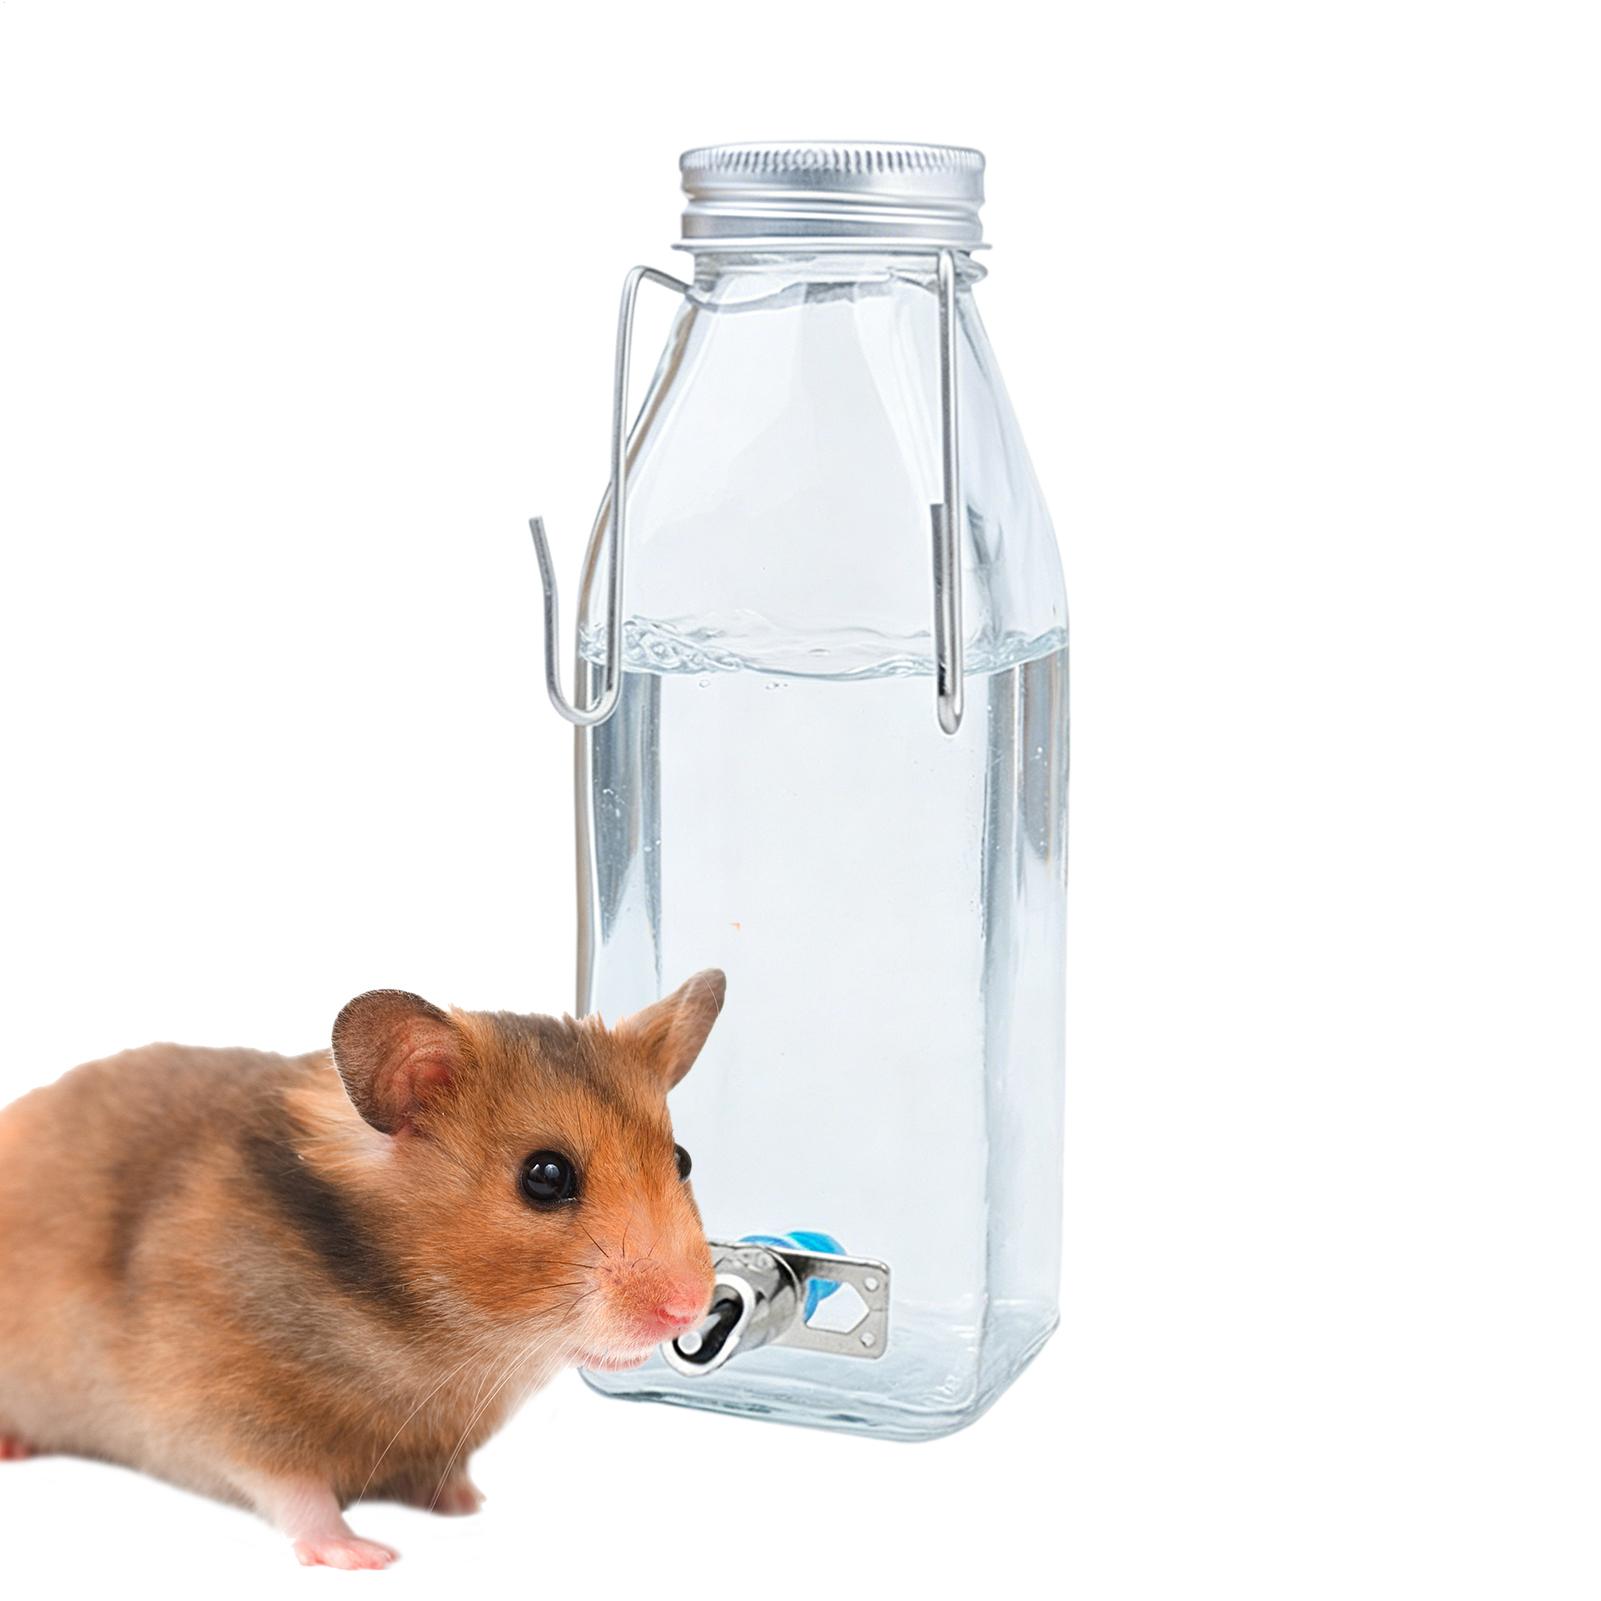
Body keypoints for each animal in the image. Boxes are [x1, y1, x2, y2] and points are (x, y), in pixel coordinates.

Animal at [0, 970, 724, 1569]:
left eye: (683, 1158)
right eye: (545, 1176)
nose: (689, 1308)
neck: (441, 1341)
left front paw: (469, 1504)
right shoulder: (215, 1406)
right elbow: (292, 1488)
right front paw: (364, 1555)